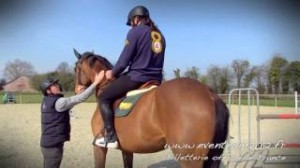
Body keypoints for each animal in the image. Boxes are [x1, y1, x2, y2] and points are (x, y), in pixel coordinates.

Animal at [74, 49, 229, 167]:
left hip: (189, 159)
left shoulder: (99, 148)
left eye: (76, 68)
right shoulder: (127, 149)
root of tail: (210, 94)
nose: (77, 90)